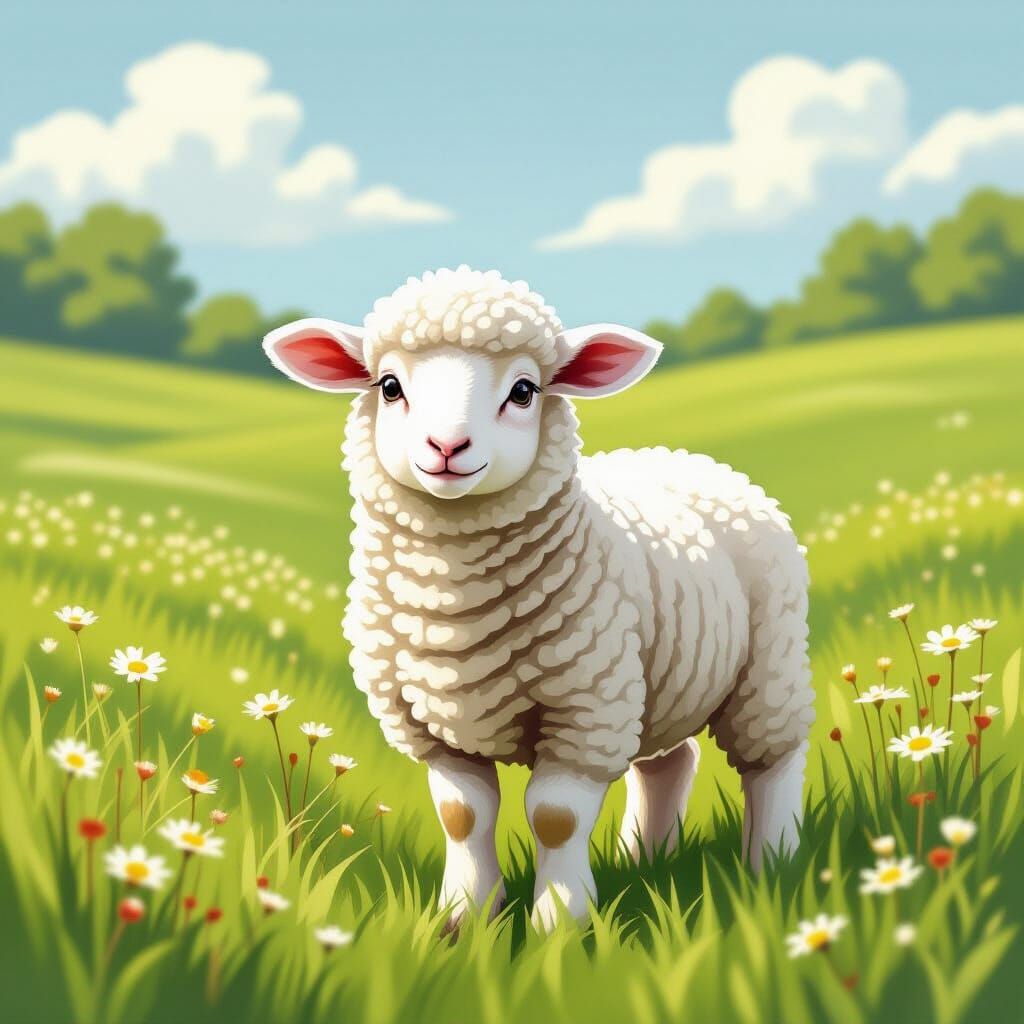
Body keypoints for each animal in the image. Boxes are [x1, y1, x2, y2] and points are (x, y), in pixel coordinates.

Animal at [263, 266, 814, 931]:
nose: (446, 446)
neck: (453, 609)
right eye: (390, 386)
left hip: (766, 664)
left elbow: (556, 818)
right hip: (655, 681)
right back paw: (644, 858)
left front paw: (560, 923)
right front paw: (463, 916)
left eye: (524, 391)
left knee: (773, 762)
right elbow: (462, 816)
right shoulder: (431, 725)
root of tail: (690, 459)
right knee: (668, 762)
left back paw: (772, 865)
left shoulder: (584, 711)